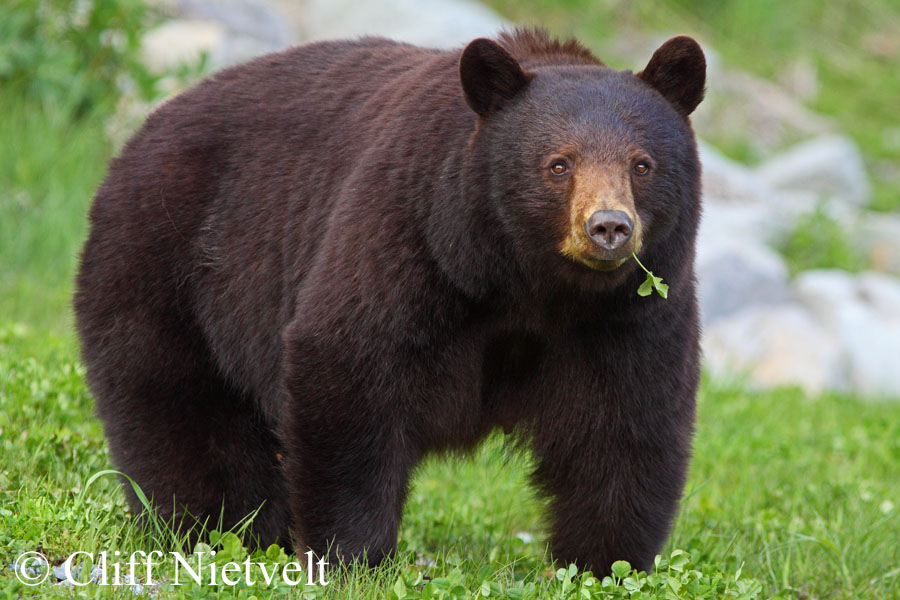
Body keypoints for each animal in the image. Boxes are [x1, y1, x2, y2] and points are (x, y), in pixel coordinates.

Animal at [75, 25, 704, 576]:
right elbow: (353, 372)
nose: (609, 227)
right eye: (558, 164)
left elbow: (625, 425)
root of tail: (137, 136)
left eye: (641, 164)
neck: (528, 285)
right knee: (182, 414)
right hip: (171, 267)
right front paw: (350, 555)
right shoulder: (411, 239)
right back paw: (213, 530)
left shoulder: (628, 316)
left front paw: (605, 564)